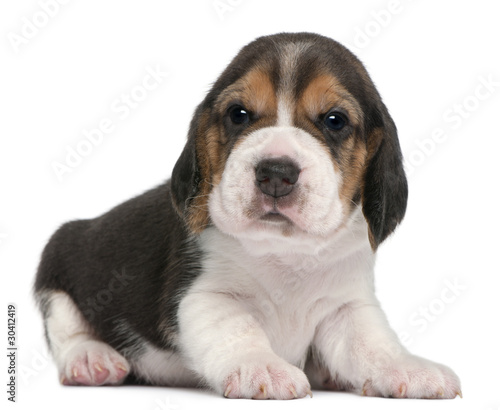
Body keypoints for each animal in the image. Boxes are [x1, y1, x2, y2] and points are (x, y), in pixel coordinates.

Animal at [36, 32, 460, 400]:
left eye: (335, 120)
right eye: (238, 114)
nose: (276, 172)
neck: (286, 252)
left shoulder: (346, 305)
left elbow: (371, 342)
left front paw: (407, 367)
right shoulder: (204, 295)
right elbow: (239, 329)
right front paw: (262, 367)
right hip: (58, 260)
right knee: (66, 330)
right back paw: (90, 358)